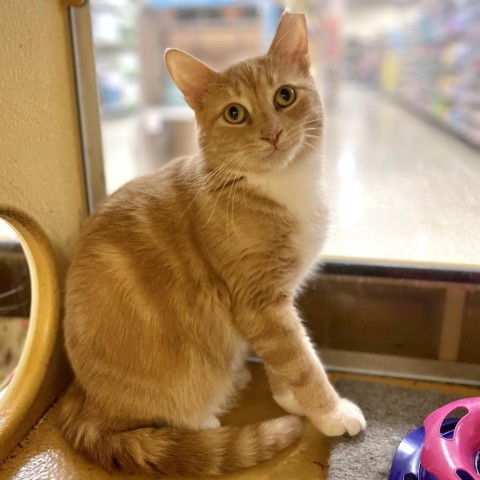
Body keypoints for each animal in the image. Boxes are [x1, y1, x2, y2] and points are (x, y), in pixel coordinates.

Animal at [61, 10, 368, 476]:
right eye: (235, 113)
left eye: (284, 96)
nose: (272, 134)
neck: (279, 187)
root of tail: (86, 402)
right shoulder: (259, 303)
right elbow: (301, 361)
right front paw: (329, 411)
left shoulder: (274, 304)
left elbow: (286, 357)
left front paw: (289, 397)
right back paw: (201, 419)